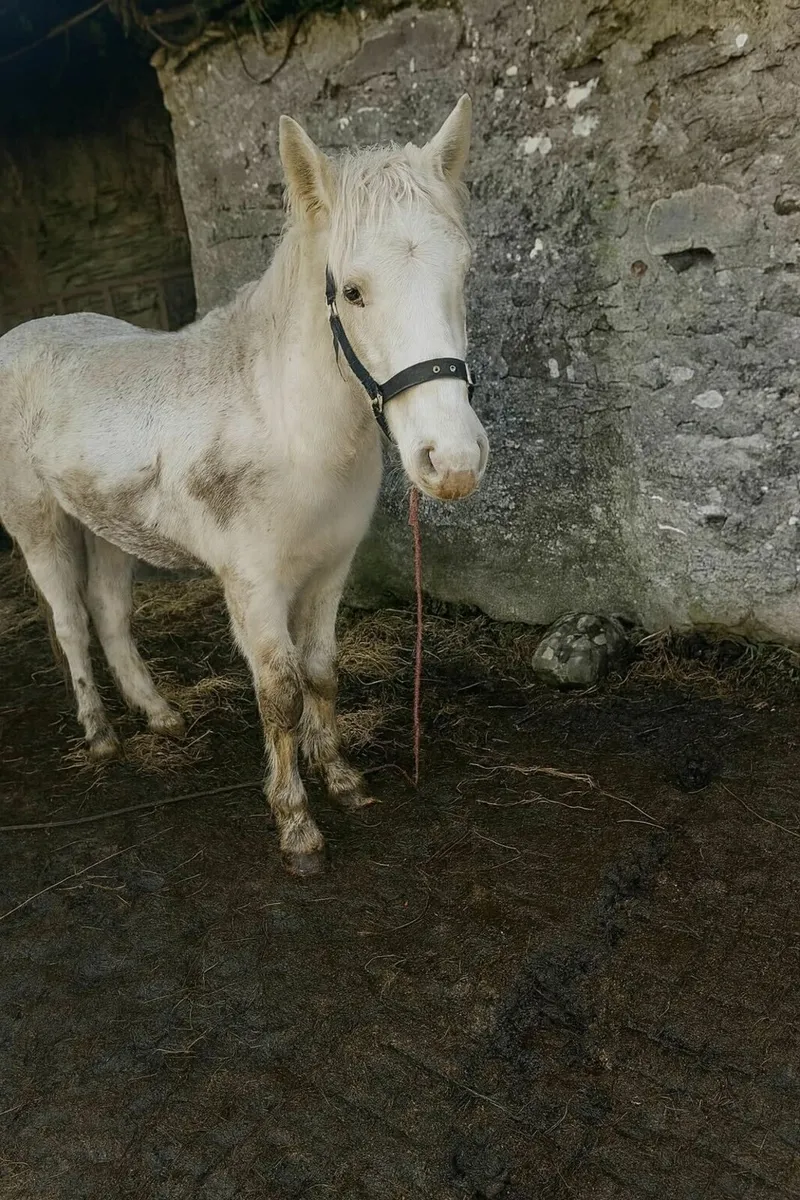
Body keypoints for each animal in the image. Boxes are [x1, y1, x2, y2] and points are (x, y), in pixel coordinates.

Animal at [0, 96, 489, 875]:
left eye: (463, 274)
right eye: (354, 291)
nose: (454, 462)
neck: (285, 419)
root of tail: (18, 336)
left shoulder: (329, 571)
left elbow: (321, 674)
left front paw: (343, 779)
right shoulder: (254, 586)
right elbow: (280, 694)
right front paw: (296, 826)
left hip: (108, 528)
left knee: (108, 612)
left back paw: (160, 716)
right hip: (38, 523)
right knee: (71, 620)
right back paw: (101, 734)